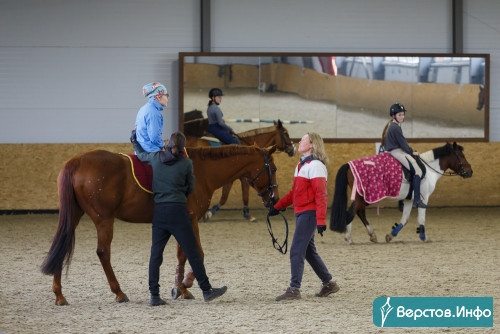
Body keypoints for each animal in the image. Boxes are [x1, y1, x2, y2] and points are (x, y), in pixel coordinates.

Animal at [41, 145, 280, 304]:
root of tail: (76, 161)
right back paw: (119, 292)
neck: (201, 170)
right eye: (274, 169)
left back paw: (59, 294)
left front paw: (181, 288)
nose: (275, 199)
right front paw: (186, 285)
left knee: (62, 246)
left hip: (74, 215)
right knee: (103, 253)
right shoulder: (190, 219)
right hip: (104, 219)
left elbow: (182, 254)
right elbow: (197, 253)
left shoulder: (181, 221)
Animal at [330, 144, 470, 245]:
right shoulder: (424, 198)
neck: (429, 170)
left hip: (365, 197)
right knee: (351, 213)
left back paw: (372, 235)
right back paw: (349, 238)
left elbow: (405, 219)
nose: (470, 172)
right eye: (461, 155)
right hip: (362, 197)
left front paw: (390, 236)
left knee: (359, 212)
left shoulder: (409, 200)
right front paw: (424, 237)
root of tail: (349, 165)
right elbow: (421, 218)